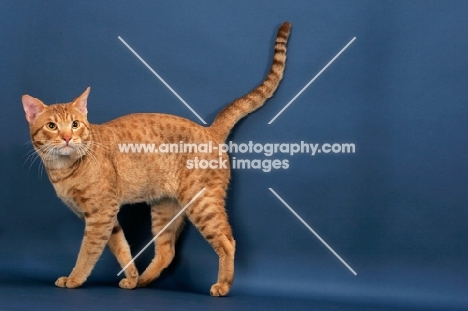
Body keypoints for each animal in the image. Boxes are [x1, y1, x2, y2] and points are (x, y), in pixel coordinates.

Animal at [22, 22, 292, 298]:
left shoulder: (100, 214)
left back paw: (223, 285)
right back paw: (143, 280)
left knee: (227, 241)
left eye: (75, 124)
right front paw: (131, 277)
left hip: (201, 202)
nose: (67, 137)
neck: (63, 169)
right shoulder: (107, 218)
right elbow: (122, 248)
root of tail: (210, 130)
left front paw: (74, 279)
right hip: (166, 208)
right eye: (52, 126)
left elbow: (87, 253)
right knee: (166, 251)